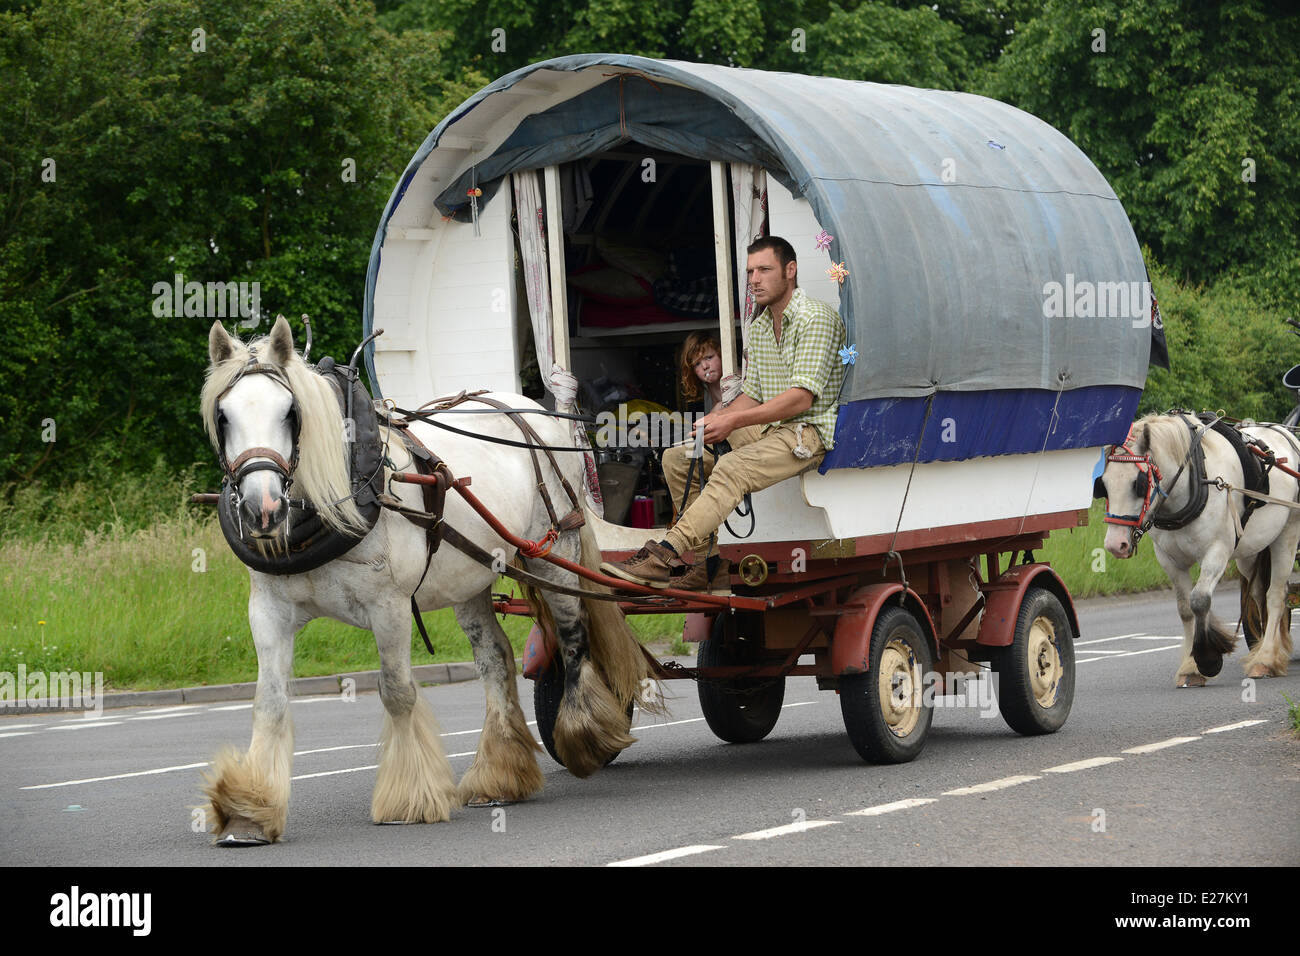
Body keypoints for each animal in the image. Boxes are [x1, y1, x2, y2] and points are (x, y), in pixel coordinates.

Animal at [197, 319, 655, 842]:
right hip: (471, 577)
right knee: (496, 659)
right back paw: (499, 773)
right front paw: (250, 810)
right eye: (224, 416)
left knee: (574, 638)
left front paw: (410, 797)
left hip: (554, 553)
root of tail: (537, 412)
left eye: (291, 413)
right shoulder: (269, 612)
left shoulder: (389, 607)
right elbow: (268, 702)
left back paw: (583, 737)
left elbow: (397, 692)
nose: (263, 509)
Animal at [1097, 411, 1300, 686]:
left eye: (1137, 483)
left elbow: (1200, 600)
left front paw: (1207, 658)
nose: (1115, 544)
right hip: (1251, 550)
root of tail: (1287, 433)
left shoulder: (1217, 552)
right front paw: (1190, 667)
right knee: (1258, 594)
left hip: (1286, 536)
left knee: (1276, 596)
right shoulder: (1169, 560)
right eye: (1103, 485)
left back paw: (1266, 659)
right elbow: (1185, 609)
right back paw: (1264, 650)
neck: (1195, 481)